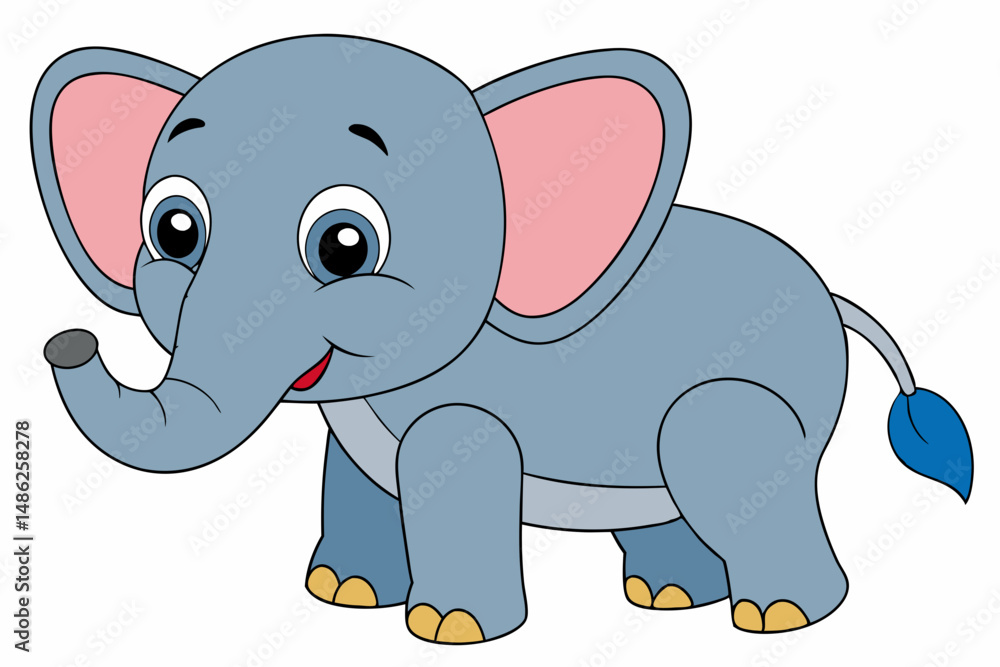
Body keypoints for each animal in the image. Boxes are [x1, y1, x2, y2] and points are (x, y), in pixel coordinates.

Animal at [31, 35, 974, 643]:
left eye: (345, 245)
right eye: (174, 229)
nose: (66, 343)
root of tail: (833, 298)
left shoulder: (463, 415)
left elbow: (455, 467)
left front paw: (449, 628)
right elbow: (358, 478)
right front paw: (344, 595)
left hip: (764, 402)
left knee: (719, 448)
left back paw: (779, 617)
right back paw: (669, 599)